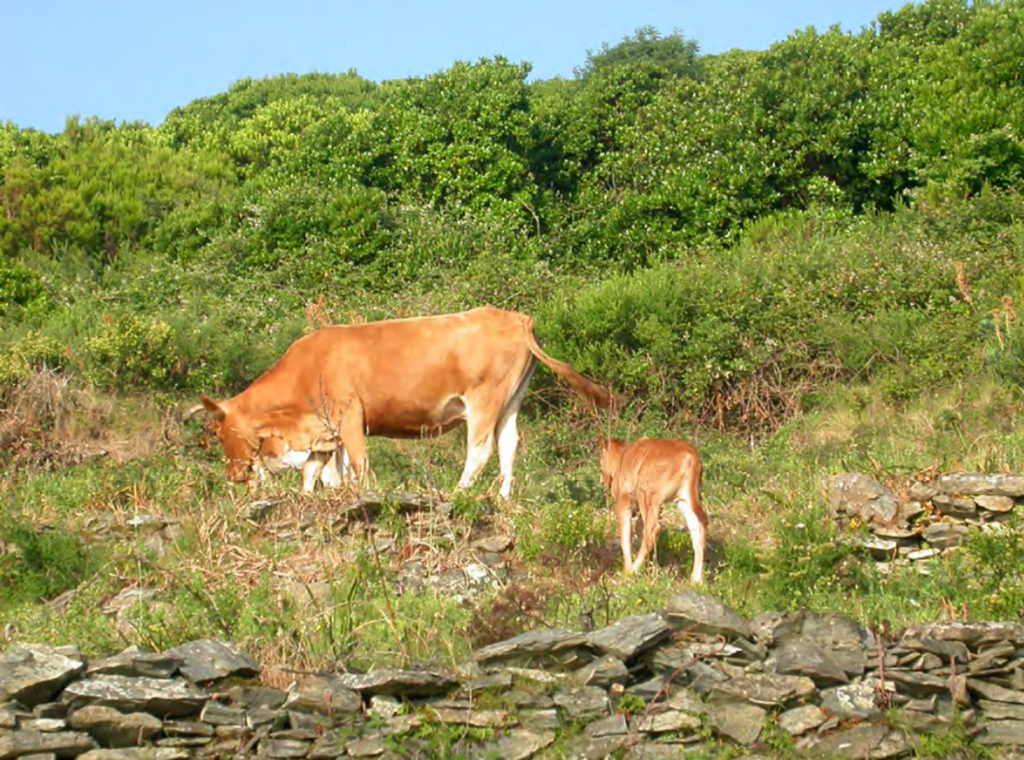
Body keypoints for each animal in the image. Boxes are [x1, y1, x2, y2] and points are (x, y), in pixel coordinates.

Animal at [196, 307, 618, 499]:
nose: (233, 476)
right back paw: (502, 497)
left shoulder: (349, 415)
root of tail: (515, 316)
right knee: (508, 444)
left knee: (480, 448)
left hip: (484, 399)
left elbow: (358, 463)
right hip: (511, 399)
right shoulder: (325, 428)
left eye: (219, 431)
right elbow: (327, 469)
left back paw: (459, 493)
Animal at [598, 438, 708, 581]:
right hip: (684, 500)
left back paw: (633, 570)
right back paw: (696, 579)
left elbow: (625, 537)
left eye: (600, 456)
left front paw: (627, 569)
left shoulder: (625, 501)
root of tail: (691, 456)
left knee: (653, 529)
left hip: (647, 496)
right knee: (697, 527)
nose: (602, 480)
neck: (621, 457)